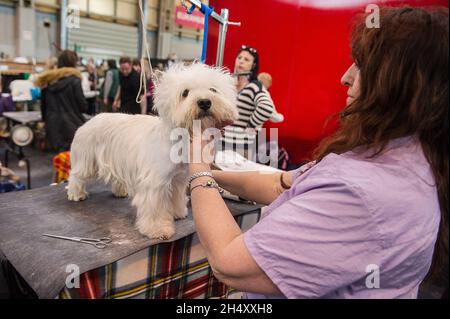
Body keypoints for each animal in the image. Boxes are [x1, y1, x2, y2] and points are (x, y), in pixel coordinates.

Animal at [67, 63, 236, 240]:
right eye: (185, 93)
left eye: (213, 89)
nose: (204, 102)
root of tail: (89, 120)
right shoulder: (156, 183)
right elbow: (155, 208)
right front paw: (158, 229)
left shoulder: (178, 179)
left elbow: (176, 197)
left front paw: (177, 212)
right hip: (87, 160)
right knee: (76, 175)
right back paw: (76, 194)